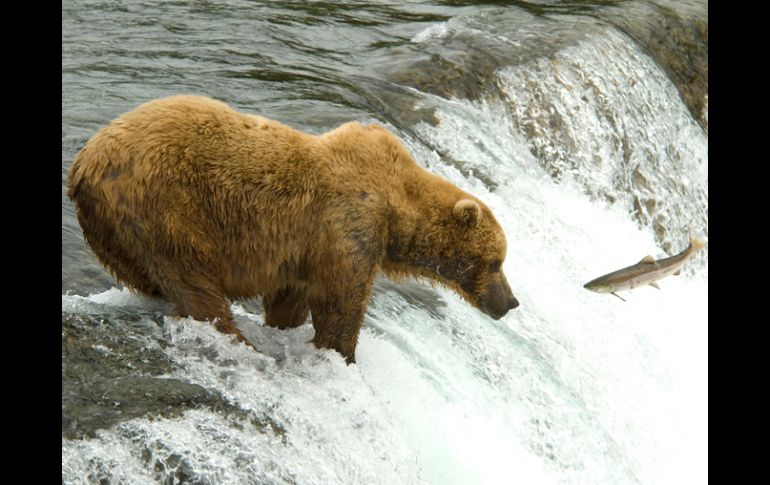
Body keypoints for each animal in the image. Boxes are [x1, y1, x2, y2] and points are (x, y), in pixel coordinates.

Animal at [69, 94, 520, 362]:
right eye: (496, 261)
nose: (511, 302)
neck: (396, 205)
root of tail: (85, 162)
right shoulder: (348, 226)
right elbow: (341, 302)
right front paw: (340, 355)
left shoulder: (304, 249)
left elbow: (291, 297)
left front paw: (286, 326)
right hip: (165, 203)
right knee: (192, 275)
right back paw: (239, 340)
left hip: (111, 230)